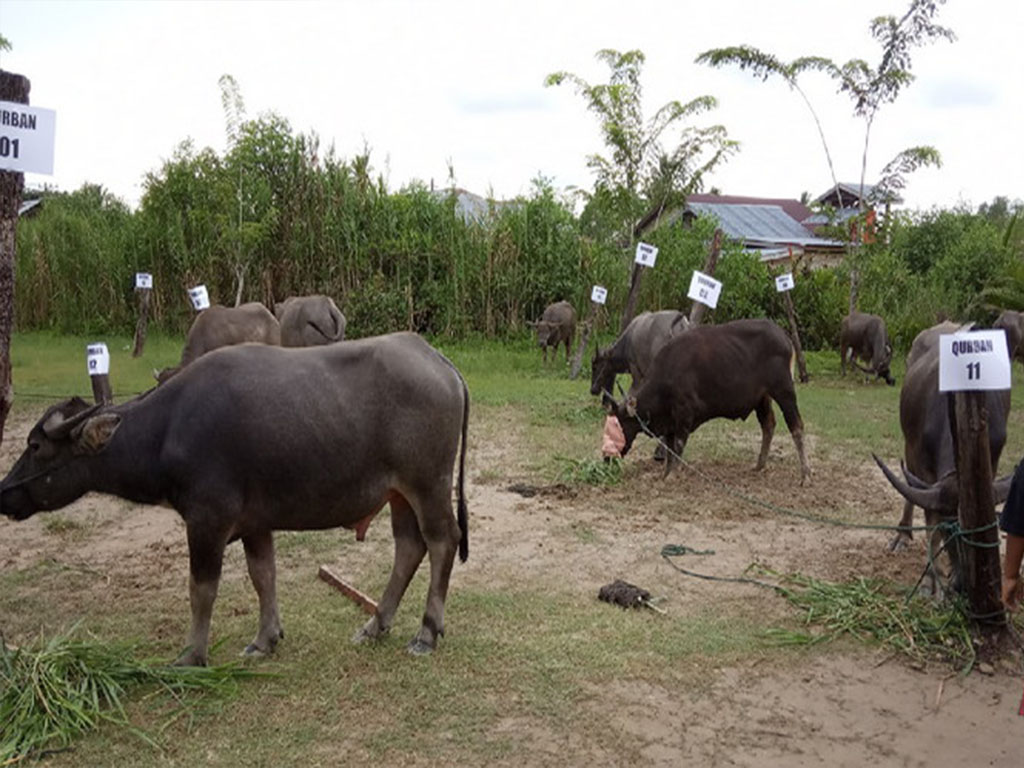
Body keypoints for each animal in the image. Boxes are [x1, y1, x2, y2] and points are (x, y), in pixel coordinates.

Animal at [0, 335, 468, 667]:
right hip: (399, 494)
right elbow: (264, 576)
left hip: (428, 484)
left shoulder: (207, 521)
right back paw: (375, 625)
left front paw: (191, 655)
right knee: (409, 546)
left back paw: (427, 632)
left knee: (442, 540)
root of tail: (438, 361)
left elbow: (201, 589)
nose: (5, 493)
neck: (168, 430)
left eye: (36, 446)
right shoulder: (255, 524)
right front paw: (265, 640)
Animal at [610, 317, 811, 483]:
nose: (607, 457)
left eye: (619, 425)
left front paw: (673, 474)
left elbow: (678, 445)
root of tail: (784, 337)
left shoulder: (684, 413)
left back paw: (805, 474)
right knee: (768, 425)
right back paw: (759, 465)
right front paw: (666, 473)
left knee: (796, 426)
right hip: (762, 398)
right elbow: (669, 447)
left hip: (784, 391)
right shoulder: (670, 420)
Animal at [876, 321, 1011, 598]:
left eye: (988, 532)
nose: (962, 585)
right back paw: (903, 535)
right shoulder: (920, 459)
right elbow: (931, 524)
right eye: (951, 531)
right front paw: (931, 580)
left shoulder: (991, 460)